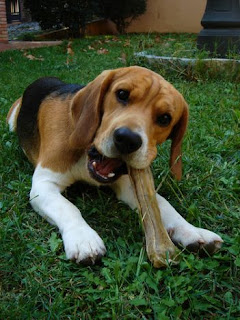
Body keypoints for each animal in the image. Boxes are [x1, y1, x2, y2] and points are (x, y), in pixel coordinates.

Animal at [6, 66, 222, 264]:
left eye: (165, 118)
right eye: (122, 94)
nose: (127, 139)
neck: (87, 155)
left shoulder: (129, 187)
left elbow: (163, 206)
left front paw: (192, 231)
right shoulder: (43, 184)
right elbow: (68, 207)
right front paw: (83, 239)